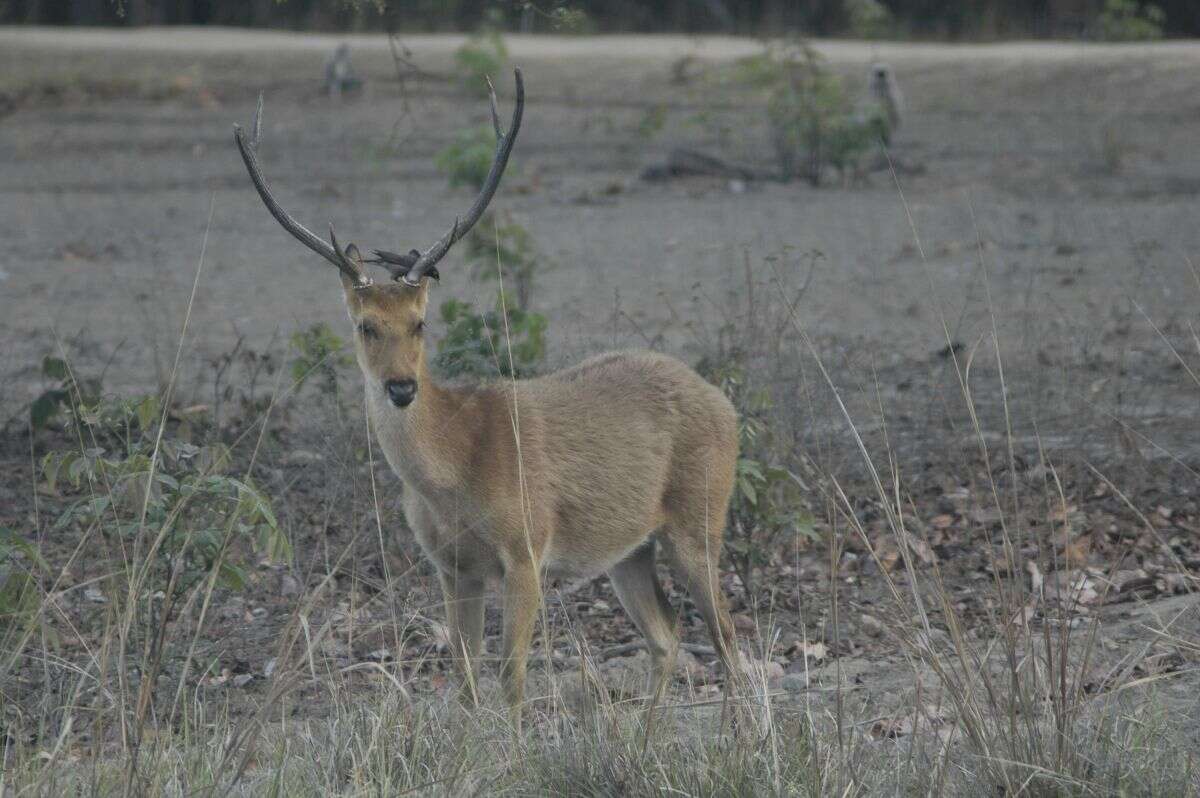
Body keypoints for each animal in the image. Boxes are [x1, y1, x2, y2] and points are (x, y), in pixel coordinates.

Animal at [232, 71, 739, 724]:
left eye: (420, 322)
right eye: (365, 325)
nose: (401, 386)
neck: (455, 475)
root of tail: (726, 405)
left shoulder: (526, 548)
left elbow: (511, 674)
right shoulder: (451, 567)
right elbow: (466, 673)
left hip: (700, 519)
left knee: (727, 636)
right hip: (630, 549)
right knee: (668, 635)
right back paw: (648, 733)